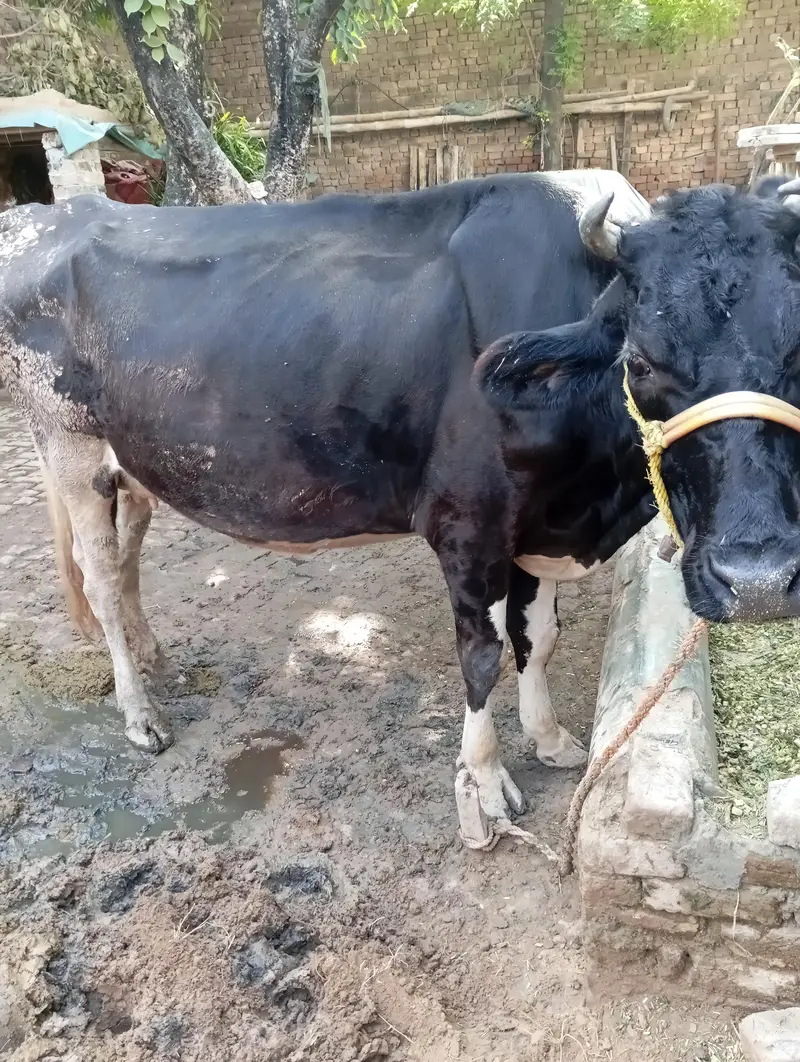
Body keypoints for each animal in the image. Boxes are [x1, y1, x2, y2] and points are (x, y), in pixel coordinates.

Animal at [1, 171, 798, 830]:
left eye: (797, 355)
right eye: (641, 361)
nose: (757, 581)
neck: (590, 504)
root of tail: (46, 214)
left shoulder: (535, 525)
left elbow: (539, 637)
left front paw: (548, 738)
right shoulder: (469, 526)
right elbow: (481, 656)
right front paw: (486, 781)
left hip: (136, 468)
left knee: (127, 564)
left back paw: (154, 660)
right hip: (69, 449)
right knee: (101, 584)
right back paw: (141, 716)